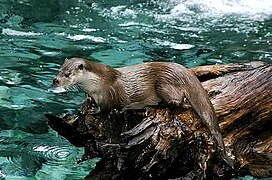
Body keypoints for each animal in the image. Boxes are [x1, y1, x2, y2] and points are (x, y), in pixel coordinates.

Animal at [53, 57, 234, 167]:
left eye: (67, 74)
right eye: (59, 70)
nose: (55, 80)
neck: (97, 83)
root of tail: (185, 73)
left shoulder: (108, 95)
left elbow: (105, 108)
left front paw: (92, 109)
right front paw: (86, 103)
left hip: (164, 84)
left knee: (180, 103)